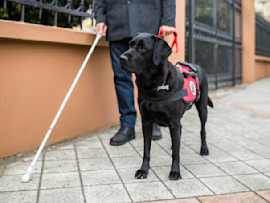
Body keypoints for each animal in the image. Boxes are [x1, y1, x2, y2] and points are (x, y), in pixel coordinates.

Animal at [118, 32, 213, 180]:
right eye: (130, 45)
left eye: (142, 48)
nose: (121, 58)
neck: (155, 87)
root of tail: (197, 67)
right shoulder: (147, 121)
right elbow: (146, 150)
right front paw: (143, 170)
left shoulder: (173, 122)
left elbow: (176, 154)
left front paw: (175, 171)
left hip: (202, 108)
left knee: (202, 129)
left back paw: (204, 148)